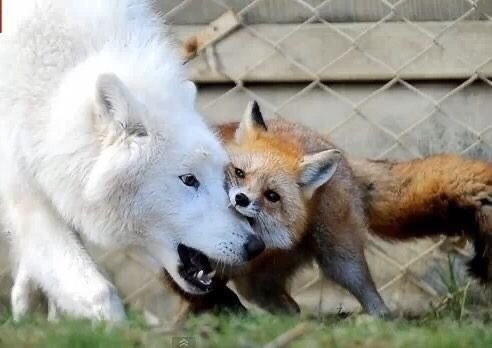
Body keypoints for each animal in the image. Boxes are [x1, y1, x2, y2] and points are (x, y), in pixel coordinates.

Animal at [172, 100, 492, 318]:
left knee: (358, 292)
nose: (241, 199)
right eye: (239, 173)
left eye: (271, 195)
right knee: (286, 307)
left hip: (339, 256)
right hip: (262, 284)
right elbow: (196, 294)